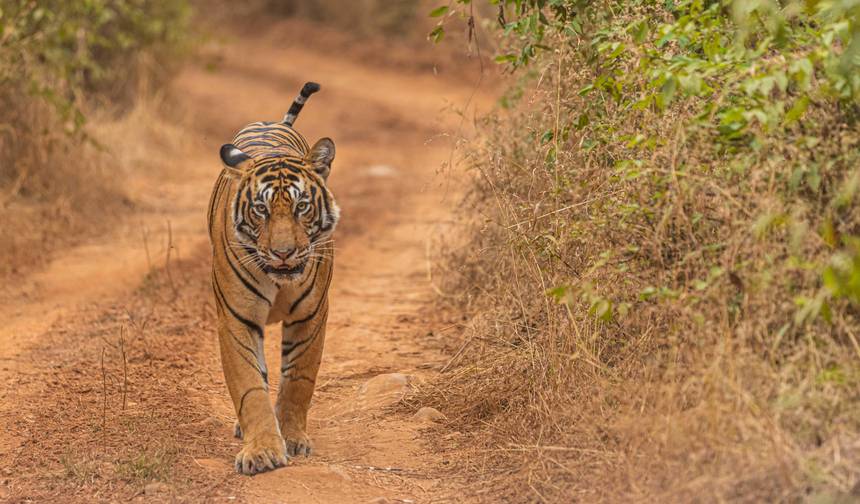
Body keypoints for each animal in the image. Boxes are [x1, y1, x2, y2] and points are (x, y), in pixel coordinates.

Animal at [207, 82, 338, 475]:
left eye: (301, 206)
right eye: (261, 209)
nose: (283, 253)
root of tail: (271, 122)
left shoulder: (312, 314)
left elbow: (299, 379)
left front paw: (292, 437)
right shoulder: (236, 317)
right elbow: (249, 385)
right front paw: (263, 449)